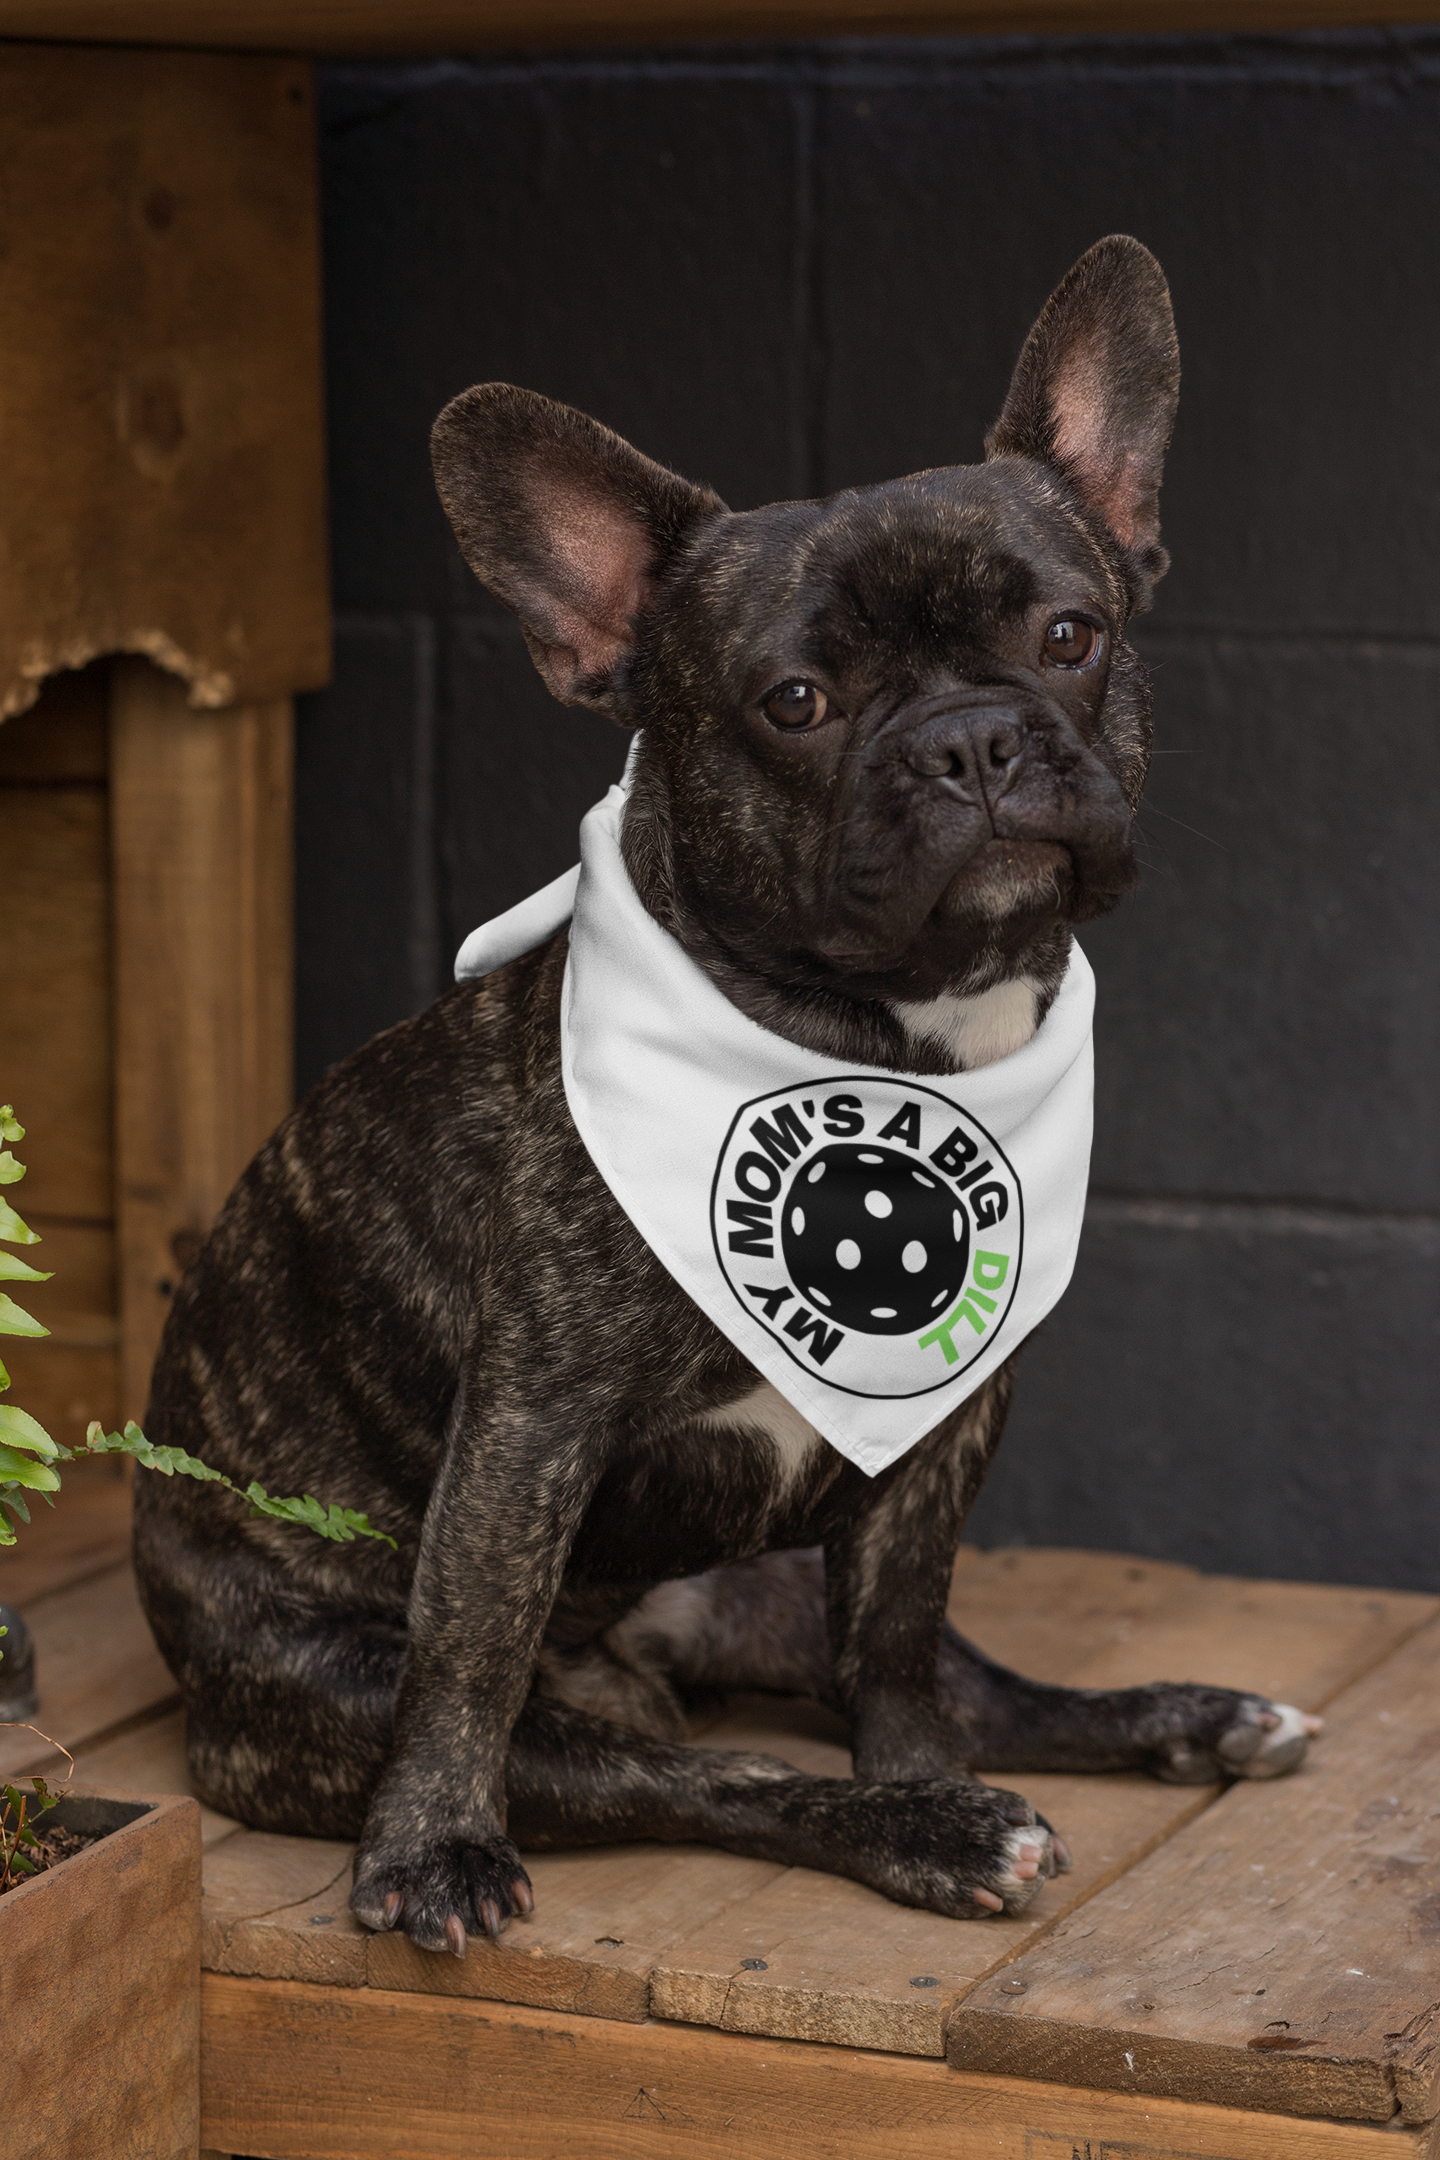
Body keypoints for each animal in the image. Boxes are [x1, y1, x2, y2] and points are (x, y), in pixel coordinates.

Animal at [132, 236, 1321, 1961]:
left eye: (1070, 637)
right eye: (796, 702)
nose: (973, 740)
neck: (873, 1036)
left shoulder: (940, 1429)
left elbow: (898, 1637)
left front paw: (922, 1772)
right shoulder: (531, 1424)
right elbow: (472, 1650)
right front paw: (429, 1848)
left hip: (780, 1571)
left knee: (954, 1685)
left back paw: (1172, 1723)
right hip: (349, 1684)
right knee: (687, 1772)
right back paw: (906, 1822)